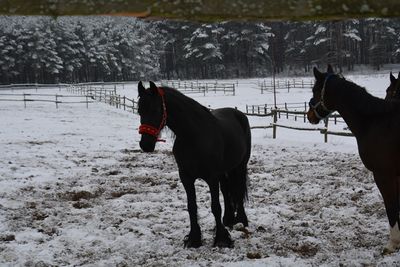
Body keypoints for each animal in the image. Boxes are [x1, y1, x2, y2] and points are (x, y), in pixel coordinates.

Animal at [138, 81, 250, 249]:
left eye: (156, 110)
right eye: (139, 110)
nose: (145, 145)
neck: (193, 136)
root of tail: (239, 114)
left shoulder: (211, 177)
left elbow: (215, 207)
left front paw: (221, 239)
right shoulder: (186, 177)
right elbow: (191, 207)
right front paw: (194, 238)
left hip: (240, 166)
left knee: (239, 189)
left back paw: (242, 220)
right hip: (224, 171)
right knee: (226, 190)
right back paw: (228, 219)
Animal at [308, 66, 400, 254]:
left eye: (315, 90)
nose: (309, 115)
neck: (375, 122)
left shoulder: (384, 175)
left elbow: (391, 207)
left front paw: (393, 243)